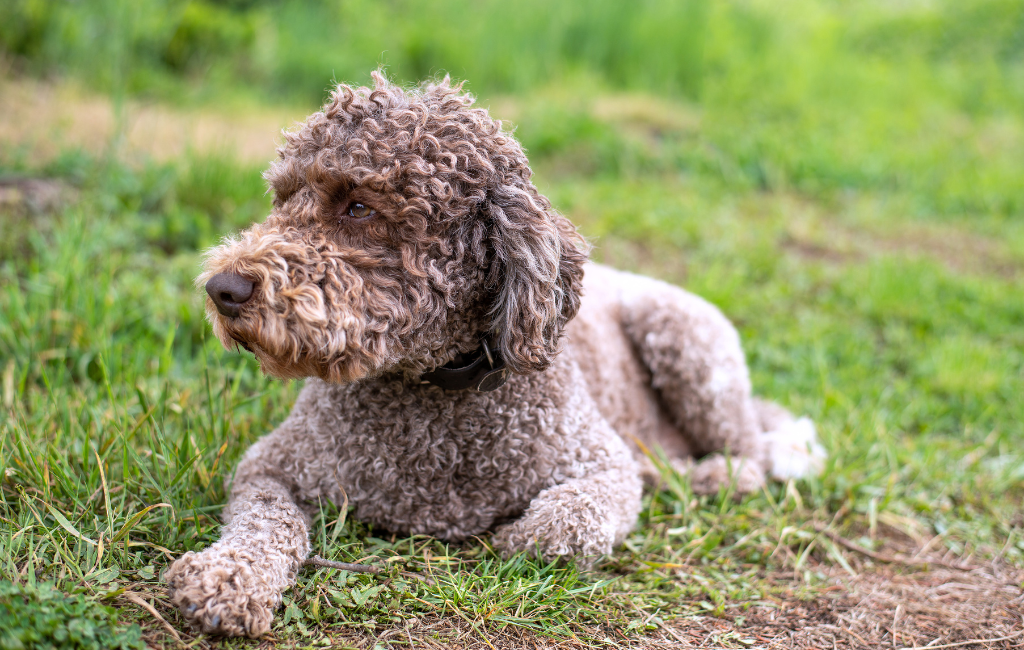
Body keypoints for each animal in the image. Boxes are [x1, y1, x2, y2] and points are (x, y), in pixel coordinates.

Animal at [163, 70, 827, 634]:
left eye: (359, 206)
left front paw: (513, 537)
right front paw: (227, 579)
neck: (434, 388)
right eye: (282, 198)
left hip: (686, 340)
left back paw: (708, 474)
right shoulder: (272, 465)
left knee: (750, 455)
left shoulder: (602, 466)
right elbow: (263, 523)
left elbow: (565, 523)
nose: (223, 288)